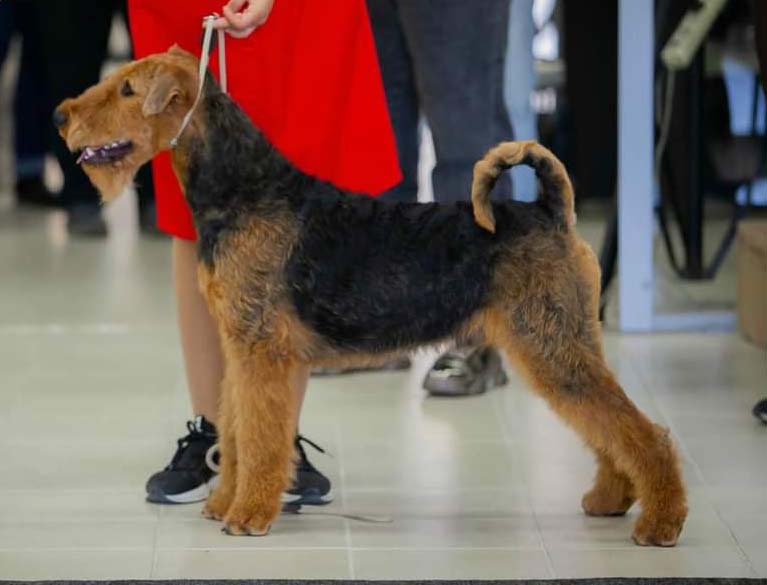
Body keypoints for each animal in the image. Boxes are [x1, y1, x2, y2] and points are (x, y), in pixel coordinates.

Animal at [55, 46, 687, 546]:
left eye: (127, 88)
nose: (61, 117)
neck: (244, 191)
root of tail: (551, 212)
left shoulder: (262, 353)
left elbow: (259, 439)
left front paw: (248, 515)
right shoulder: (240, 349)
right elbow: (234, 432)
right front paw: (222, 501)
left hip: (552, 345)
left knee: (645, 432)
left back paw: (660, 522)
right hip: (561, 346)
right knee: (608, 429)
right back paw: (610, 498)